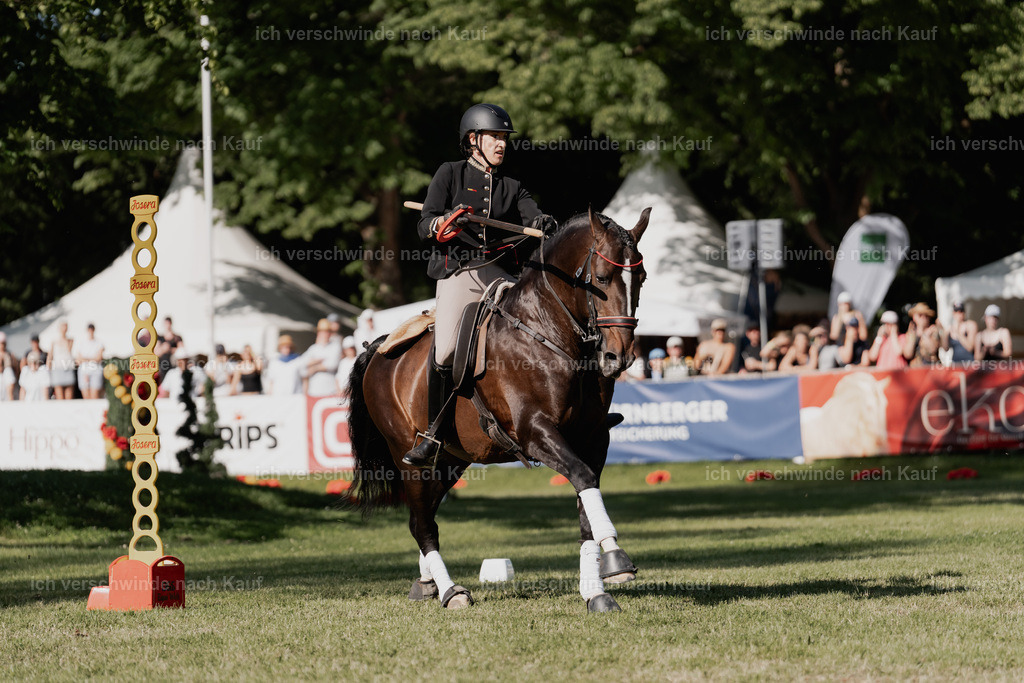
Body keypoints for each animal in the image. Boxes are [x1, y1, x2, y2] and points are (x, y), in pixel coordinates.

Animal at [347, 207, 651, 612]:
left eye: (641, 278)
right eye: (601, 278)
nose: (619, 357)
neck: (549, 332)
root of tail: (378, 348)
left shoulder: (593, 439)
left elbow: (587, 503)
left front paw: (596, 591)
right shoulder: (535, 432)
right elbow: (582, 479)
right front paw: (617, 559)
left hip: (452, 460)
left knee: (425, 514)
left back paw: (427, 582)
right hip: (408, 457)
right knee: (421, 523)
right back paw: (451, 592)